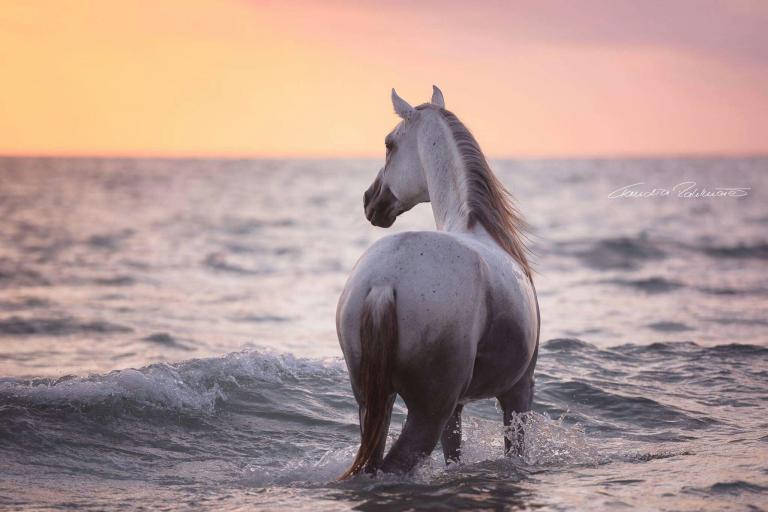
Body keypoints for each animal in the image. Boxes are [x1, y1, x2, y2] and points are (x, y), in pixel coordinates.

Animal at [336, 86, 539, 479]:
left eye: (388, 144)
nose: (370, 200)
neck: (477, 228)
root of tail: (384, 282)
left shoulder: (459, 406)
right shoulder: (518, 390)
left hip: (372, 401)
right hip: (430, 409)